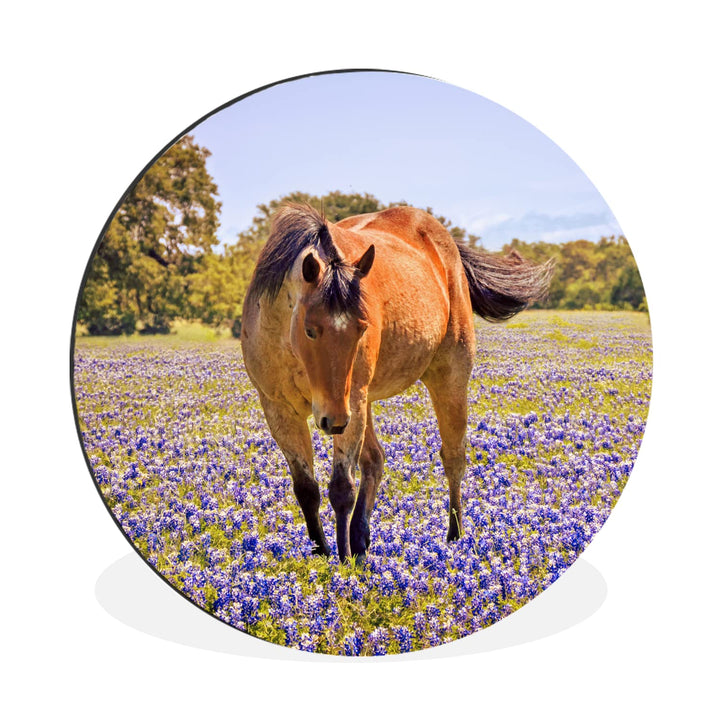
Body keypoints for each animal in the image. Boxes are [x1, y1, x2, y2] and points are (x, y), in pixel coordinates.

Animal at [240, 203, 552, 563]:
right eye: (309, 329)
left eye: (362, 328)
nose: (333, 421)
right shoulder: (278, 407)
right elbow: (307, 489)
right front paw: (321, 552)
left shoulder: (350, 400)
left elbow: (341, 488)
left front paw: (342, 562)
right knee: (375, 460)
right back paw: (361, 540)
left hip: (447, 374)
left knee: (453, 457)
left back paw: (454, 537)